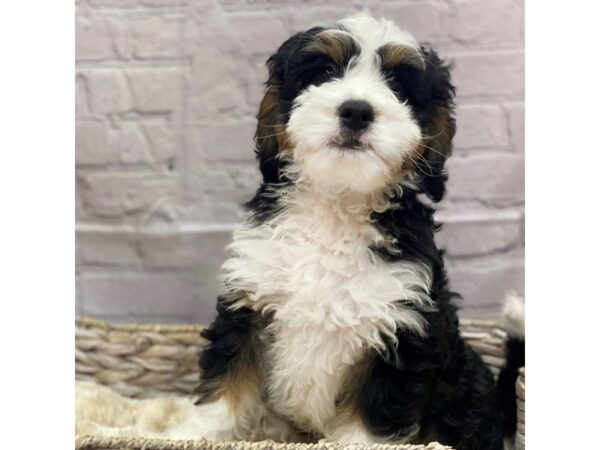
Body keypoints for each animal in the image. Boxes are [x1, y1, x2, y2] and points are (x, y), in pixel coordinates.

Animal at [195, 12, 524, 448]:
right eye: (326, 72)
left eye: (398, 85)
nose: (355, 111)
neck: (337, 205)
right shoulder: (247, 303)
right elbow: (226, 382)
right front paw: (192, 433)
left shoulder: (401, 334)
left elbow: (369, 421)